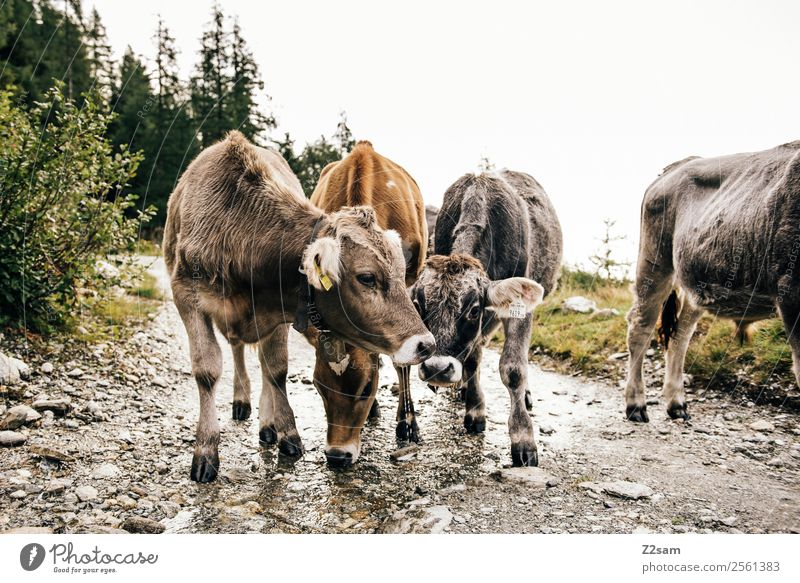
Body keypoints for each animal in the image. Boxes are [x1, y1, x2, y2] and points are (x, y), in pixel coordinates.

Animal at [412, 169, 564, 466]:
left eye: (472, 309)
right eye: (419, 305)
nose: (436, 369)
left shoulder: (518, 311)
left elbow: (514, 369)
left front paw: (523, 438)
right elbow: (472, 359)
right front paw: (475, 411)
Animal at [624, 141, 800, 424]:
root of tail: (676, 167)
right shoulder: (791, 292)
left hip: (696, 281)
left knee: (681, 334)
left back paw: (677, 403)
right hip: (655, 260)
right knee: (641, 326)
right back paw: (636, 404)